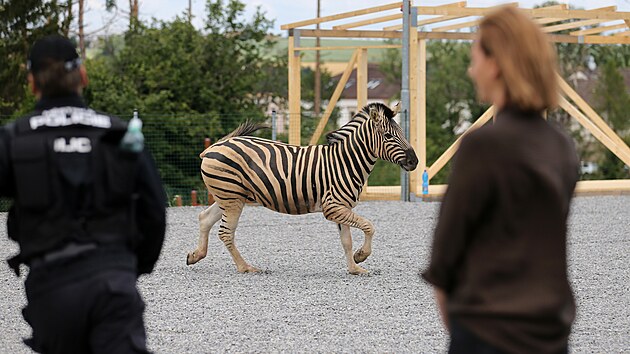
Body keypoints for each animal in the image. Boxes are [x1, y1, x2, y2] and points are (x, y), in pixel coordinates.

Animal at [185, 101, 418, 274]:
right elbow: (369, 226)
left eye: (401, 132)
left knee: (205, 218)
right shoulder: (333, 207)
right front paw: (361, 256)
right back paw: (246, 268)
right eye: (388, 136)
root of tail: (215, 146)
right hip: (232, 199)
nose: (414, 162)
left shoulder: (342, 208)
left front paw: (354, 268)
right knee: (225, 232)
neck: (346, 162)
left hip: (230, 197)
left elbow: (347, 241)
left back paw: (196, 255)